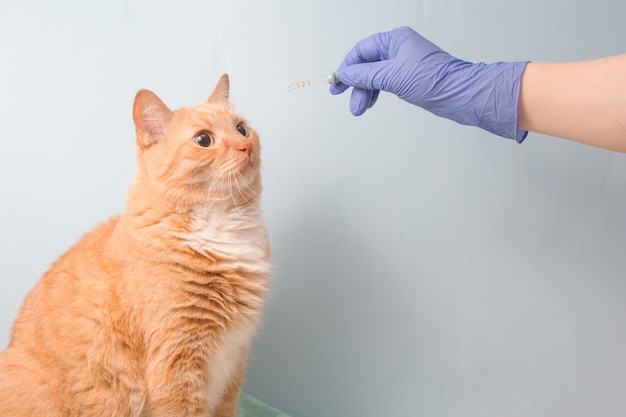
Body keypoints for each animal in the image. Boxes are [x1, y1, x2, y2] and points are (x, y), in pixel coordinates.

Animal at [0, 75, 270, 416]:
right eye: (203, 139)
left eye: (241, 129)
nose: (246, 146)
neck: (222, 225)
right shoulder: (177, 366)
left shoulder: (233, 368)